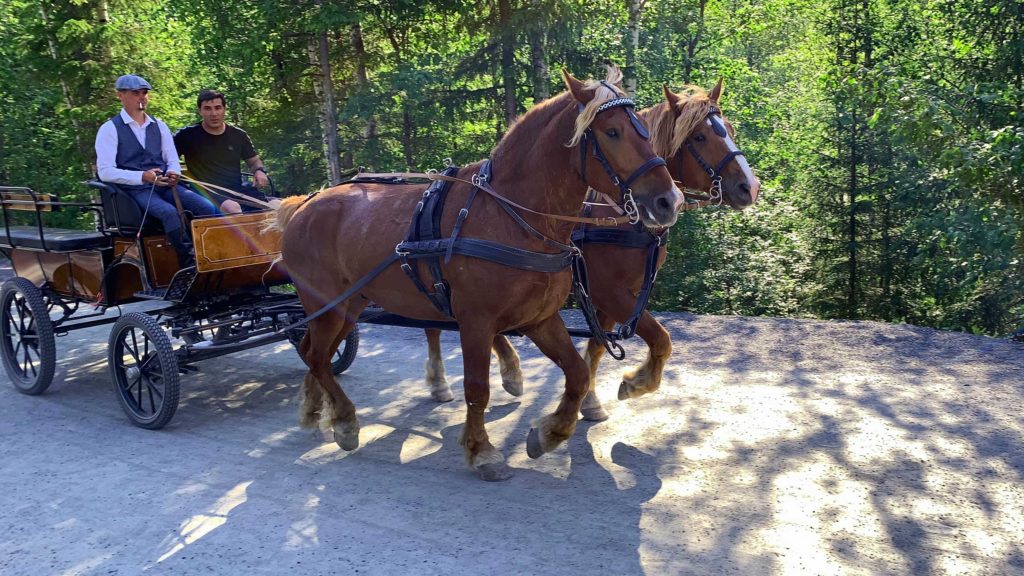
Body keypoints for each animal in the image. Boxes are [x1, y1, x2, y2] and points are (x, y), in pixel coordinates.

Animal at [275, 68, 684, 481]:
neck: (510, 217)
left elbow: (578, 374)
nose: (669, 201)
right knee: (318, 357)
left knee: (313, 353)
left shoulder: (539, 318)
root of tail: (305, 204)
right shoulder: (477, 321)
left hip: (349, 306)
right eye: (612, 132)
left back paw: (314, 410)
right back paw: (344, 421)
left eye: (643, 130)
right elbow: (477, 388)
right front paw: (481, 450)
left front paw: (550, 433)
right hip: (327, 305)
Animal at [422, 79, 760, 421]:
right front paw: (635, 383)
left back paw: (509, 371)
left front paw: (591, 400)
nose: (750, 187)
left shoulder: (619, 293)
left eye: (730, 129)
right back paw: (443, 382)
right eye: (700, 137)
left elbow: (599, 346)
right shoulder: (606, 290)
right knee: (434, 325)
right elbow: (658, 337)